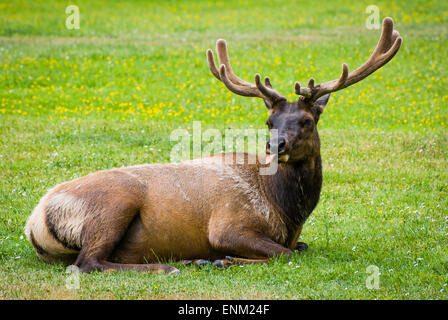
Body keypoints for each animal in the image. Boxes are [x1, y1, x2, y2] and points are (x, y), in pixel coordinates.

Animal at [24, 17, 402, 274]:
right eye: (269, 121)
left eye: (307, 121)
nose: (274, 145)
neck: (287, 211)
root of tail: (34, 221)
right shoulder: (227, 223)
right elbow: (284, 253)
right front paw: (222, 259)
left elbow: (300, 249)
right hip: (116, 202)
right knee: (88, 262)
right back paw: (170, 265)